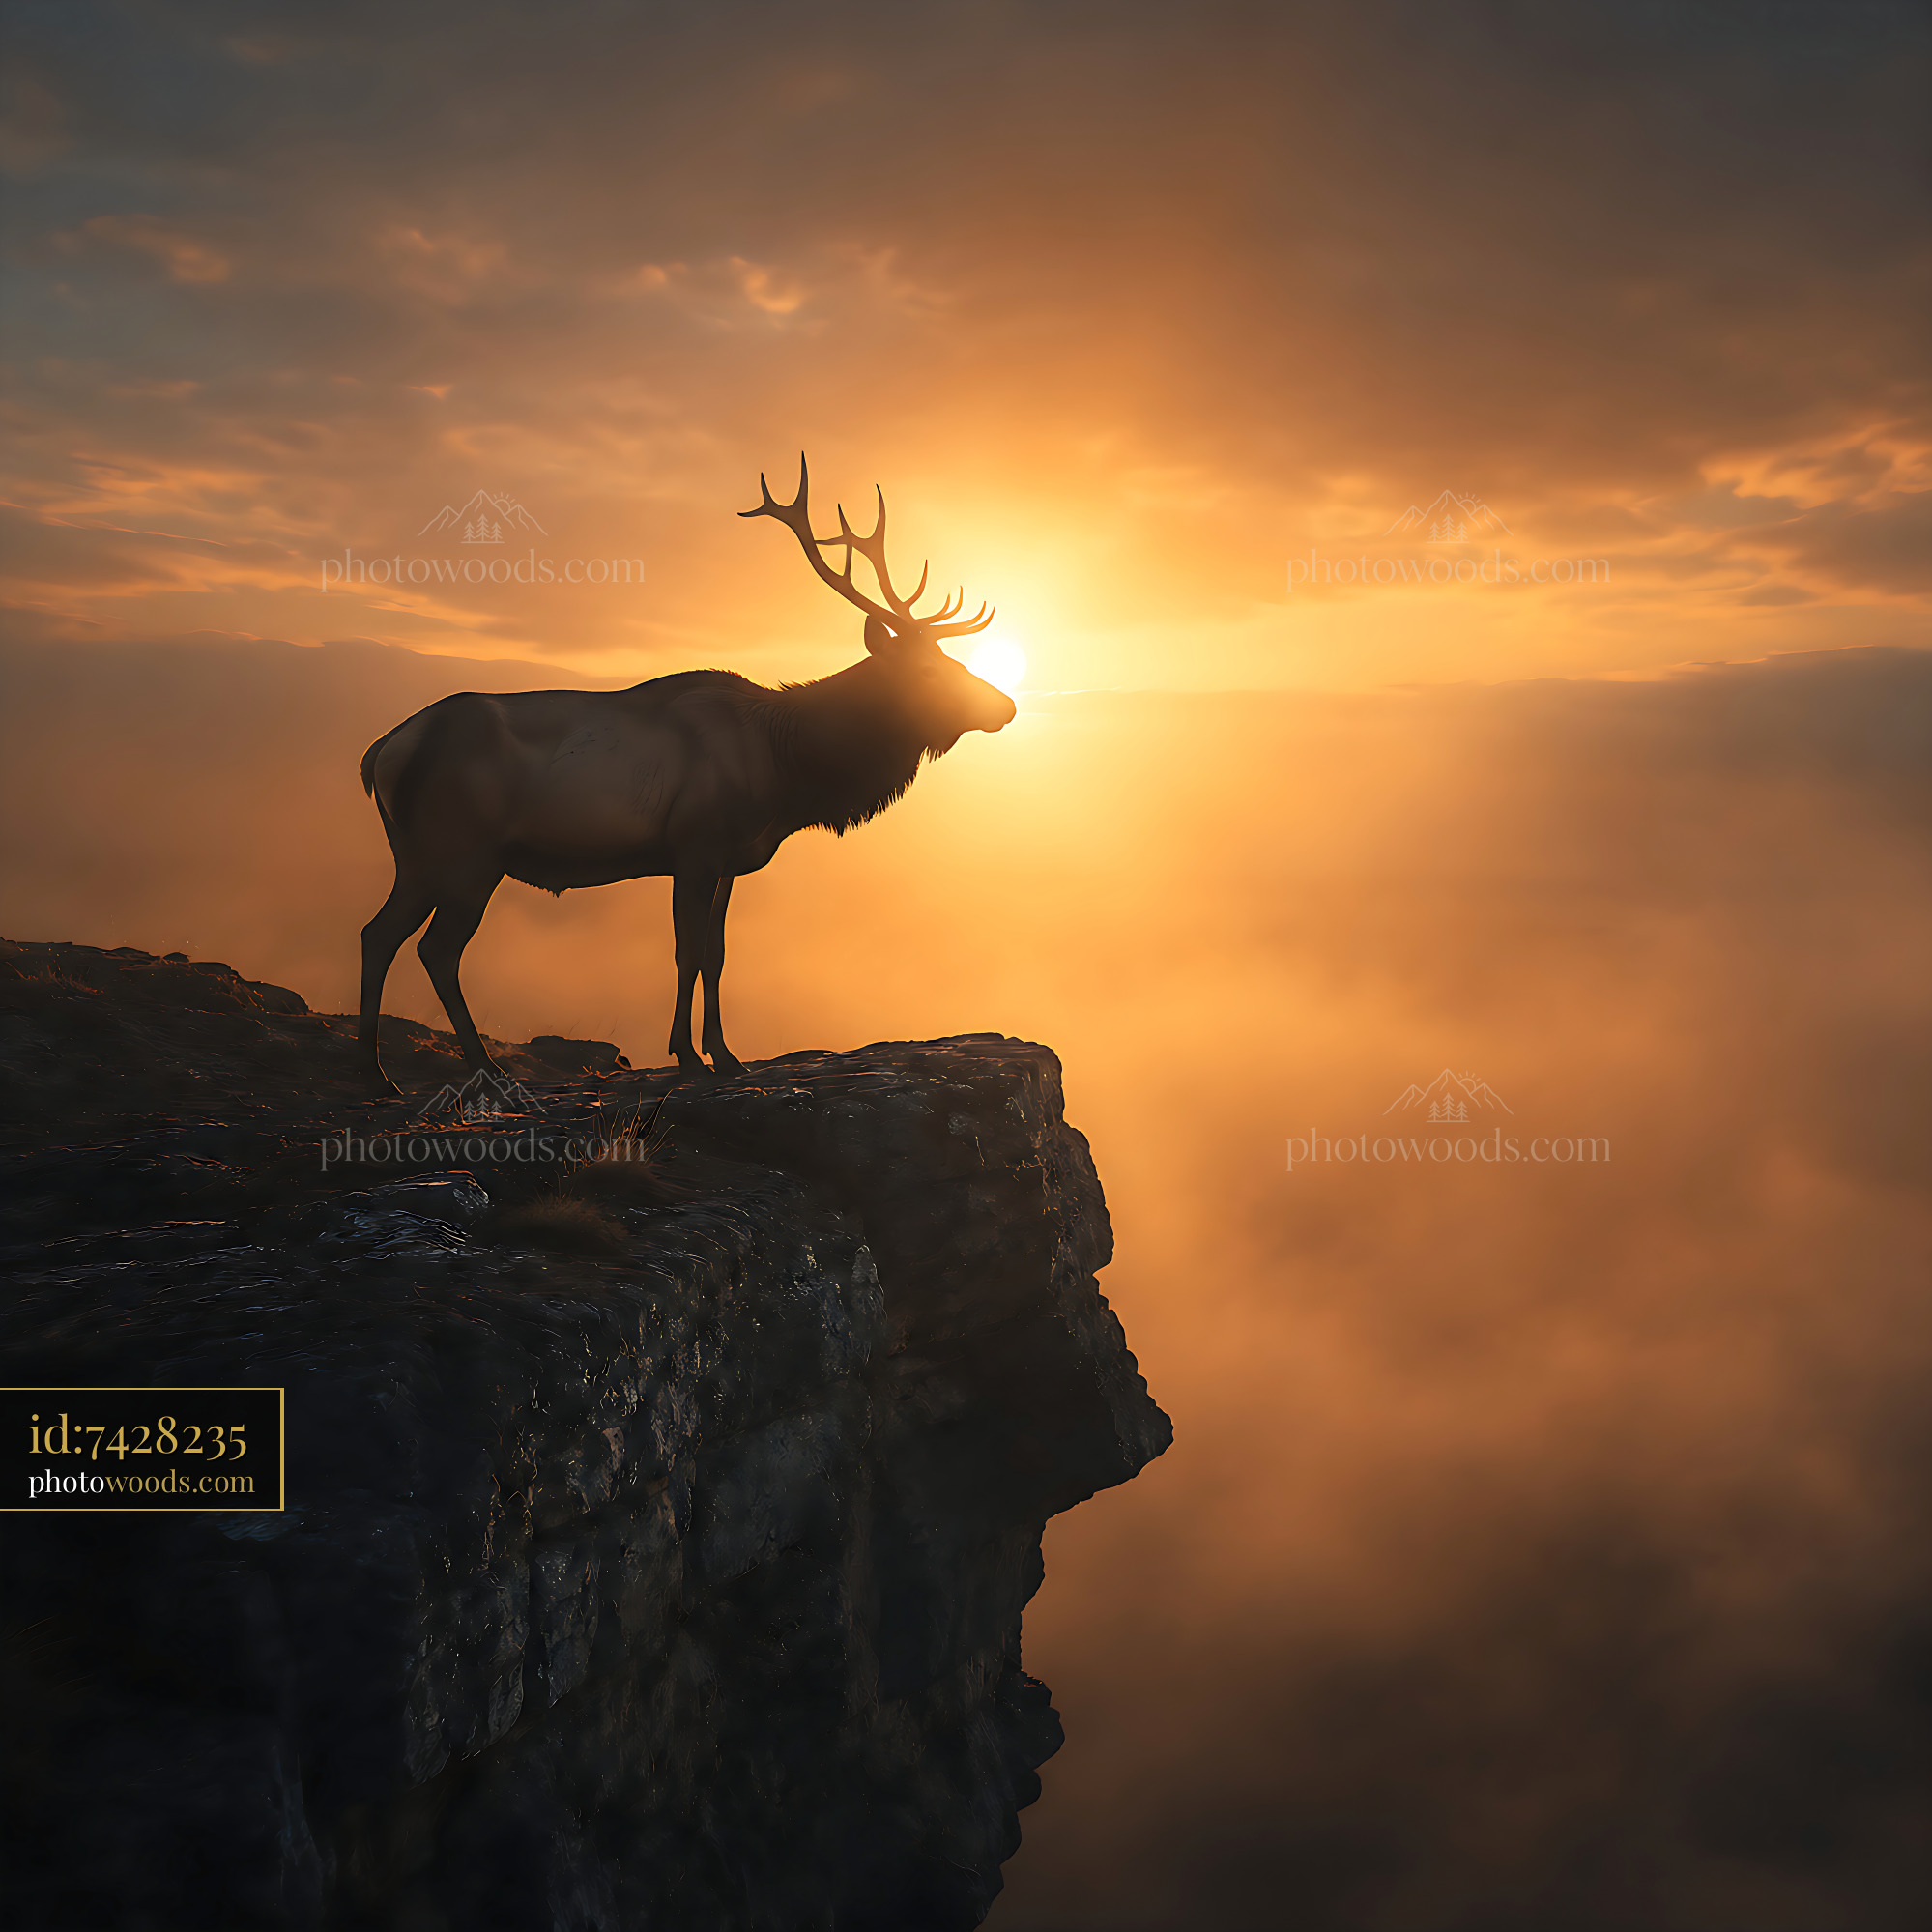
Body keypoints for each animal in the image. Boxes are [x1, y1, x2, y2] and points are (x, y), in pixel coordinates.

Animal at [356, 457, 1016, 1093]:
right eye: (929, 670)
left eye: (950, 657)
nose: (1006, 706)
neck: (786, 773)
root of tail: (380, 752)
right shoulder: (695, 845)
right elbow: (686, 951)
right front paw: (689, 1057)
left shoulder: (728, 859)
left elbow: (716, 955)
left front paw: (726, 1055)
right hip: (465, 853)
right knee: (435, 949)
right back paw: (478, 1067)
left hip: (417, 856)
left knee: (378, 934)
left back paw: (380, 1074)